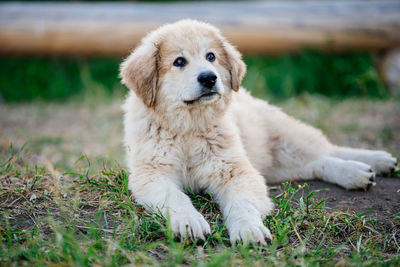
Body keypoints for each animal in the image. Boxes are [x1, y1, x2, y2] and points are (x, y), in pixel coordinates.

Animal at [120, 18, 398, 245]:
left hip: (284, 135)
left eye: (211, 57)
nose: (209, 78)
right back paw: (358, 174)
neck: (189, 127)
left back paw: (371, 163)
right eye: (179, 62)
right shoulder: (152, 174)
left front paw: (248, 229)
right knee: (316, 163)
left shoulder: (236, 171)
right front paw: (189, 222)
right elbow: (175, 198)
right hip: (275, 163)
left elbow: (241, 204)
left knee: (327, 149)